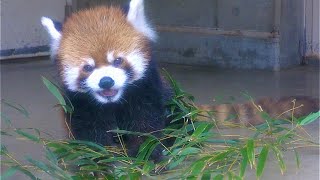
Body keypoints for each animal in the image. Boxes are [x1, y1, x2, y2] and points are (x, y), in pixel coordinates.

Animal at [42, 0, 318, 160]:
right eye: (87, 68)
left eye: (118, 61)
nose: (106, 82)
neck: (114, 103)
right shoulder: (80, 106)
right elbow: (90, 134)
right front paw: (98, 157)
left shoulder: (147, 92)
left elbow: (148, 125)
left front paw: (147, 154)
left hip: (175, 106)